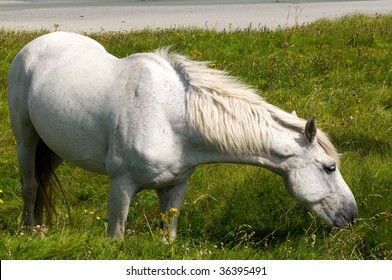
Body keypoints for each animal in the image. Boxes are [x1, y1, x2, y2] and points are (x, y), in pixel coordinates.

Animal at [7, 31, 356, 240]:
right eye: (330, 167)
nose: (351, 215)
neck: (174, 118)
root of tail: (34, 45)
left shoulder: (175, 187)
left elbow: (168, 238)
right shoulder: (121, 187)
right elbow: (116, 238)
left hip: (53, 148)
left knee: (42, 185)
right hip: (26, 139)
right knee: (30, 186)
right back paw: (31, 232)